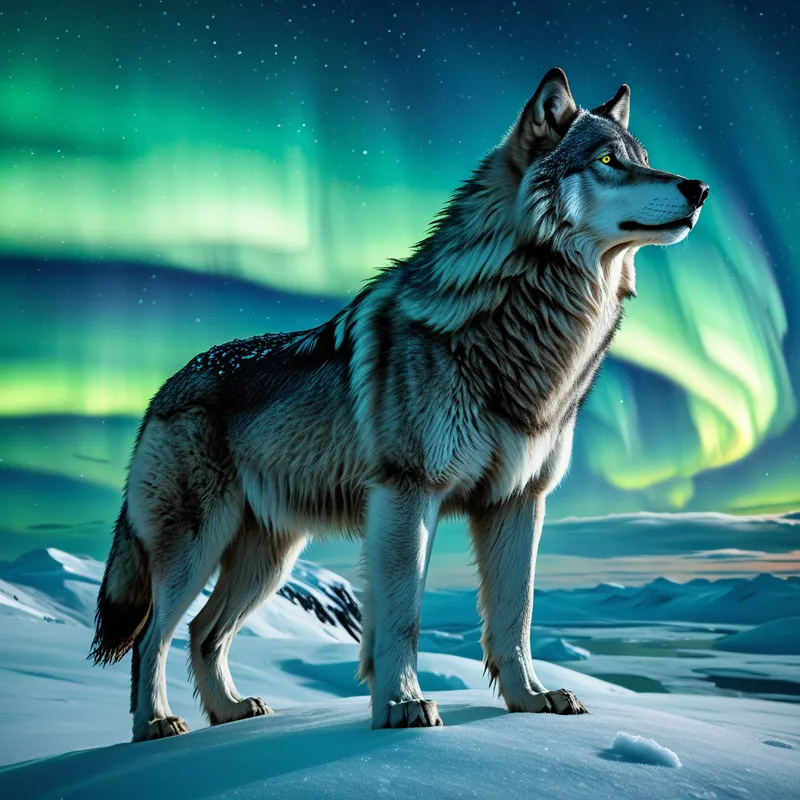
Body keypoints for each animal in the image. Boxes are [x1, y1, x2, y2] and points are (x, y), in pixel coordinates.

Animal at [91, 68, 708, 741]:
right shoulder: (409, 492)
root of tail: (160, 392)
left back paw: (230, 712)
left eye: (642, 160)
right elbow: (403, 617)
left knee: (204, 632)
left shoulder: (519, 499)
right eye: (607, 161)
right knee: (152, 635)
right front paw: (402, 706)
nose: (700, 187)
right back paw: (155, 723)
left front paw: (530, 700)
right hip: (198, 547)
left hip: (269, 558)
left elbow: (515, 617)